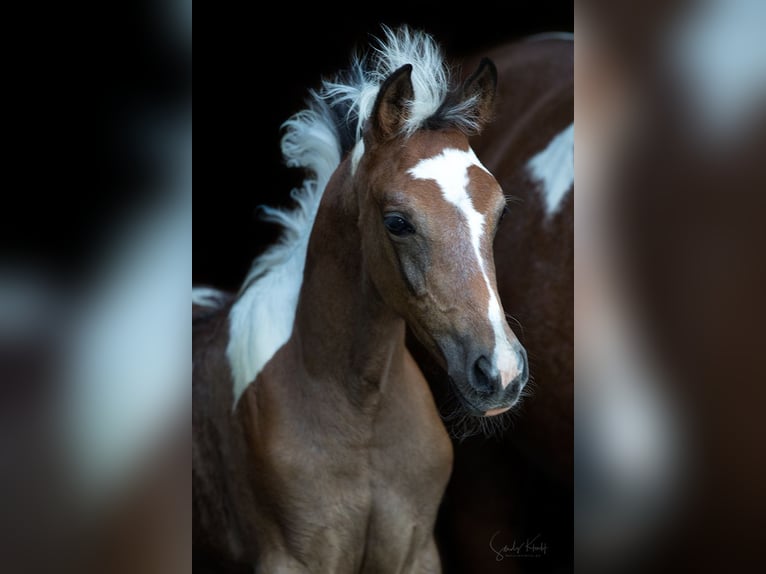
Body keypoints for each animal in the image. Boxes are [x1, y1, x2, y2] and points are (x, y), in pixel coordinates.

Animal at [193, 25, 529, 573]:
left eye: (500, 213)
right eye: (397, 222)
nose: (500, 373)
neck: (361, 408)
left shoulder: (416, 551)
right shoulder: (290, 558)